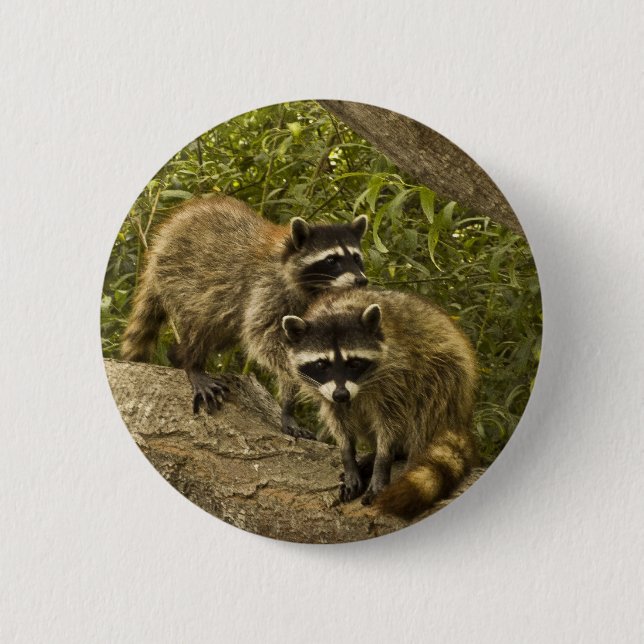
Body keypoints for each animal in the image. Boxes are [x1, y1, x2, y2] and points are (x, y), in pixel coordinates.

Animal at [121, 193, 368, 439]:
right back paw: (192, 363)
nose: (361, 280)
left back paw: (176, 356)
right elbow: (264, 337)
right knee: (201, 321)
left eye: (357, 258)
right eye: (332, 260)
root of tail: (160, 243)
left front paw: (288, 406)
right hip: (181, 276)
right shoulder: (267, 287)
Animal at [282, 288, 479, 517]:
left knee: (429, 404)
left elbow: (390, 422)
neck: (336, 310)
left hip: (448, 373)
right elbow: (339, 421)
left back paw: (406, 451)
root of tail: (462, 416)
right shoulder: (326, 391)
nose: (342, 395)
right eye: (322, 364)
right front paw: (348, 457)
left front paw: (382, 461)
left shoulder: (396, 375)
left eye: (354, 363)